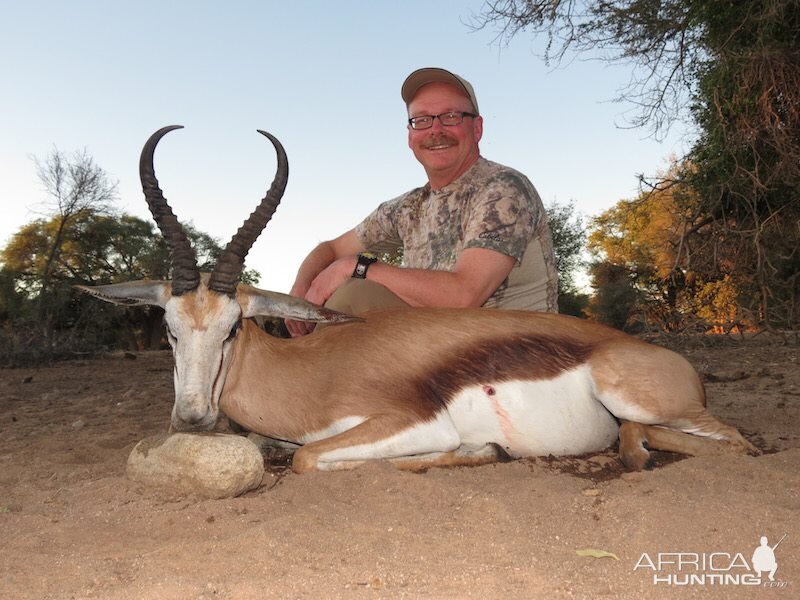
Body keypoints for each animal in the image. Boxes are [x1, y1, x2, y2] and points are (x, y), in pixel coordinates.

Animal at [78, 126, 760, 474]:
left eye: (232, 328)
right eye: (169, 327)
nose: (192, 419)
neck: (317, 371)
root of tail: (671, 361)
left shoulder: (408, 421)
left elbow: (309, 460)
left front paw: (480, 449)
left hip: (635, 397)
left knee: (736, 442)